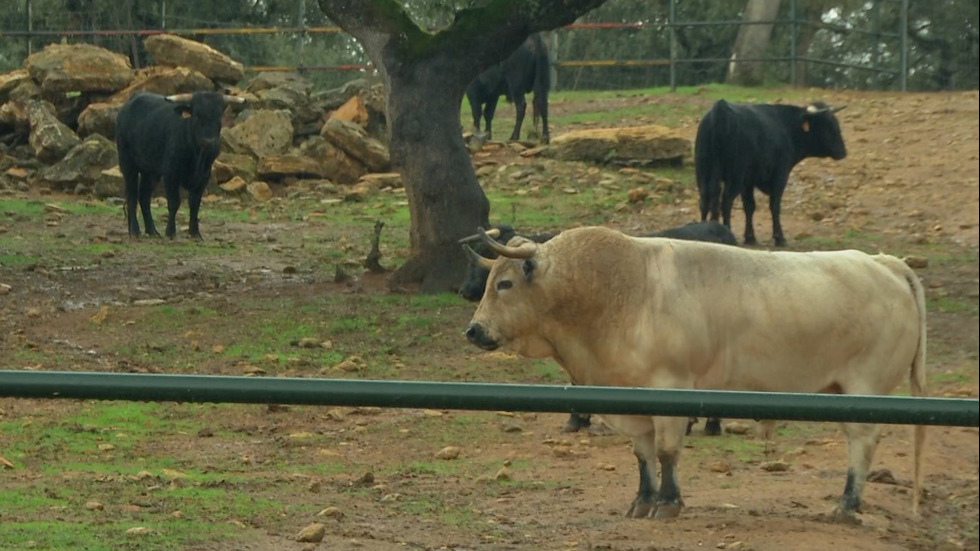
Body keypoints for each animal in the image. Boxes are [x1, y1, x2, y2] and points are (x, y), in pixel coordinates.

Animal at [116, 90, 244, 239]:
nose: (209, 141)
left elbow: (195, 203)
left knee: (144, 196)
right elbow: (174, 202)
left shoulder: (204, 176)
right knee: (132, 194)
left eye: (219, 118)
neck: (197, 156)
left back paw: (152, 231)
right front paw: (170, 231)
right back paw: (134, 230)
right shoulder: (171, 173)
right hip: (127, 162)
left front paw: (195, 233)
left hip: (150, 170)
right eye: (197, 116)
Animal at [692, 98, 848, 246]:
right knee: (726, 200)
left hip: (703, 171)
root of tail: (720, 108)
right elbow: (775, 205)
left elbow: (749, 206)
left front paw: (750, 237)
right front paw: (779, 237)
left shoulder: (748, 181)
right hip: (735, 175)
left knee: (705, 198)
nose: (843, 151)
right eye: (828, 125)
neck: (788, 127)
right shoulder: (780, 175)